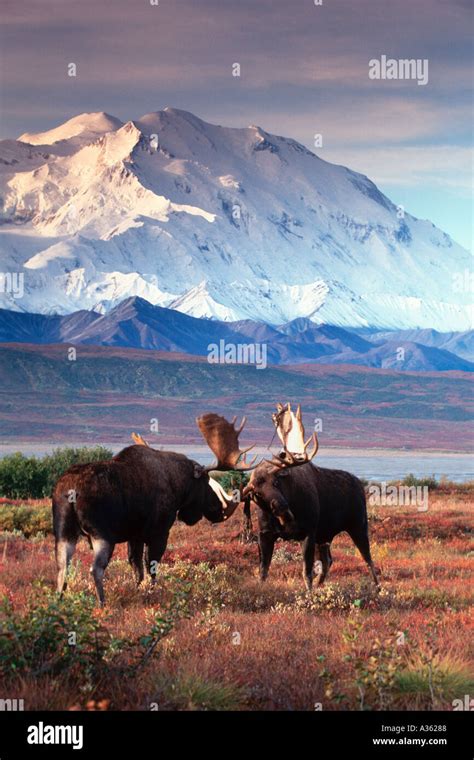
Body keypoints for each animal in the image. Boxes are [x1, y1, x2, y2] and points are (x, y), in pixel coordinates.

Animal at [52, 412, 256, 604]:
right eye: (204, 482)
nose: (218, 512)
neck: (178, 485)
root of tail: (72, 492)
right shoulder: (159, 531)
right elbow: (151, 565)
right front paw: (152, 592)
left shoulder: (135, 535)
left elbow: (136, 567)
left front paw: (138, 591)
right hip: (102, 534)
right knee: (95, 569)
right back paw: (102, 604)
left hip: (64, 532)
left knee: (62, 568)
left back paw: (59, 602)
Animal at [243, 404, 380, 588]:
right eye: (257, 494)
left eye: (276, 481)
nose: (282, 508)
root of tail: (360, 484)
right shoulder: (265, 534)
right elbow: (263, 571)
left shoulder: (309, 532)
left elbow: (306, 572)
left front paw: (309, 592)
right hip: (325, 536)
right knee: (328, 561)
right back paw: (320, 585)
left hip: (358, 525)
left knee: (368, 560)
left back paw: (378, 588)